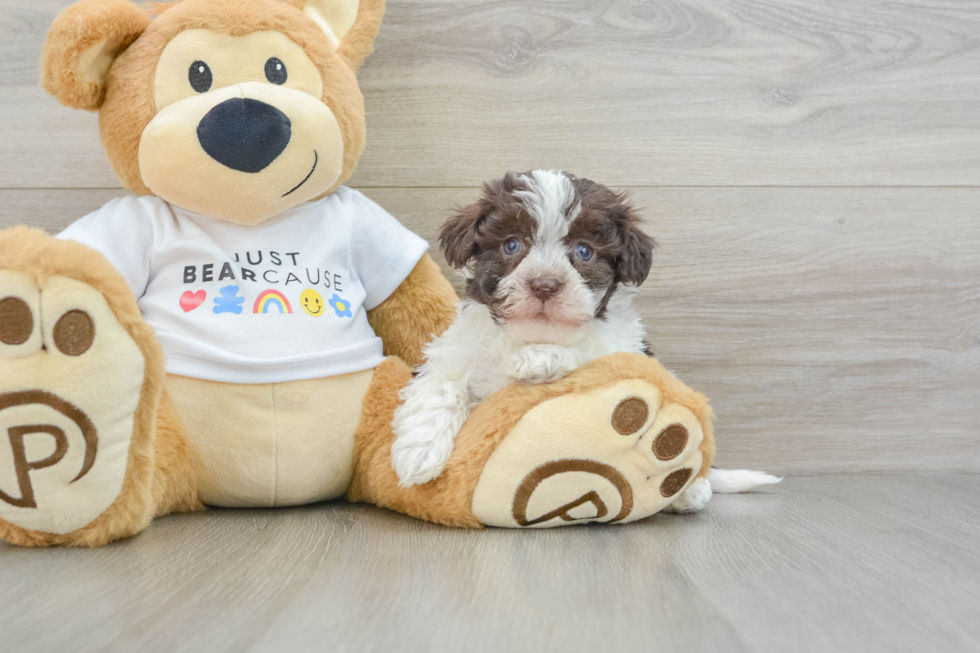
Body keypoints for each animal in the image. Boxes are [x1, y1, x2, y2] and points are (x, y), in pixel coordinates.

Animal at [392, 171, 660, 486]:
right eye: (512, 245)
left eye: (584, 251)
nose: (545, 285)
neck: (529, 336)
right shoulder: (454, 351)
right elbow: (441, 384)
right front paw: (418, 452)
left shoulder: (628, 350)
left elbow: (591, 353)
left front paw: (537, 359)